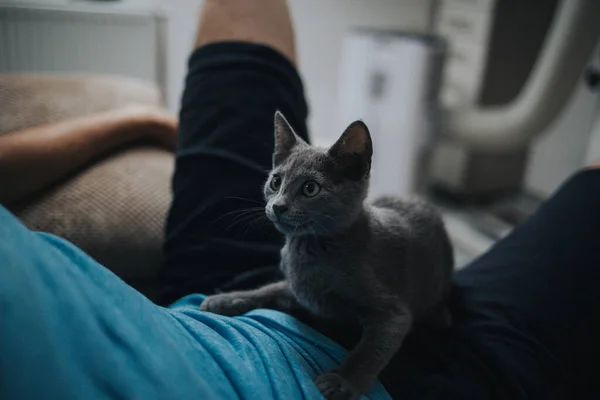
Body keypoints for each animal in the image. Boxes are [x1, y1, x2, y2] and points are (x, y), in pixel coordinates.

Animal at [200, 110, 450, 400]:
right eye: (276, 182)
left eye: (310, 188)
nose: (278, 206)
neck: (309, 248)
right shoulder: (298, 290)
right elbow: (268, 289)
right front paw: (225, 300)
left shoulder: (392, 312)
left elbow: (370, 350)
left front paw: (342, 380)